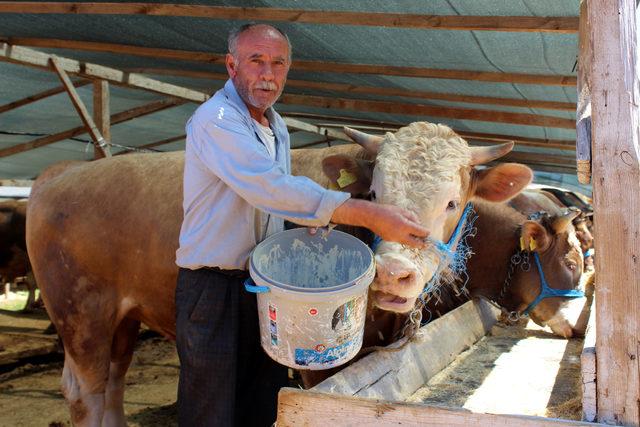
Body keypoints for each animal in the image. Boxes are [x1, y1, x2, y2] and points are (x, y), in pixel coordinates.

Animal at [26, 120, 528, 424]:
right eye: (374, 194)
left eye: (452, 202)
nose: (391, 273)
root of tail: (63, 171)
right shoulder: (322, 370)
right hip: (81, 315)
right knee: (85, 391)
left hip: (123, 320)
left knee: (112, 384)